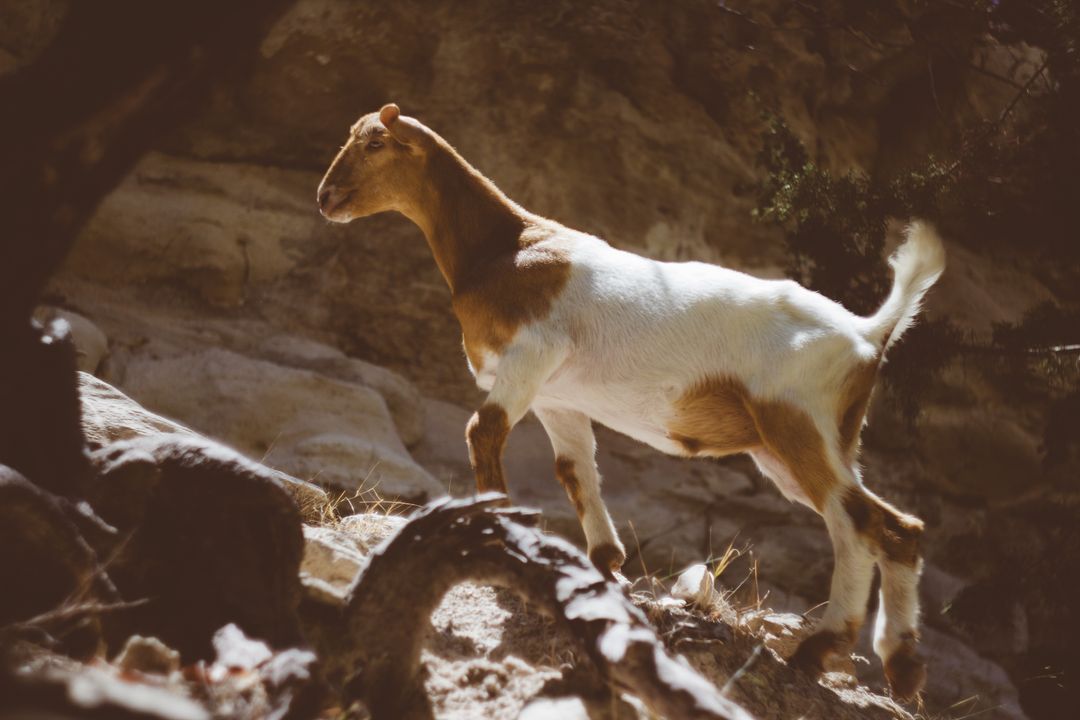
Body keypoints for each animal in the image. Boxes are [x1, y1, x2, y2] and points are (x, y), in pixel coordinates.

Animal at [317, 104, 945, 700]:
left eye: (375, 142)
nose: (326, 197)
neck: (504, 247)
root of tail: (868, 332)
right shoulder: (557, 398)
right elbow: (575, 470)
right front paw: (606, 564)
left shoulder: (530, 356)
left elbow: (483, 431)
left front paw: (493, 529)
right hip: (806, 442)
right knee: (898, 528)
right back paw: (902, 665)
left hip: (798, 423)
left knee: (858, 524)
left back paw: (823, 649)